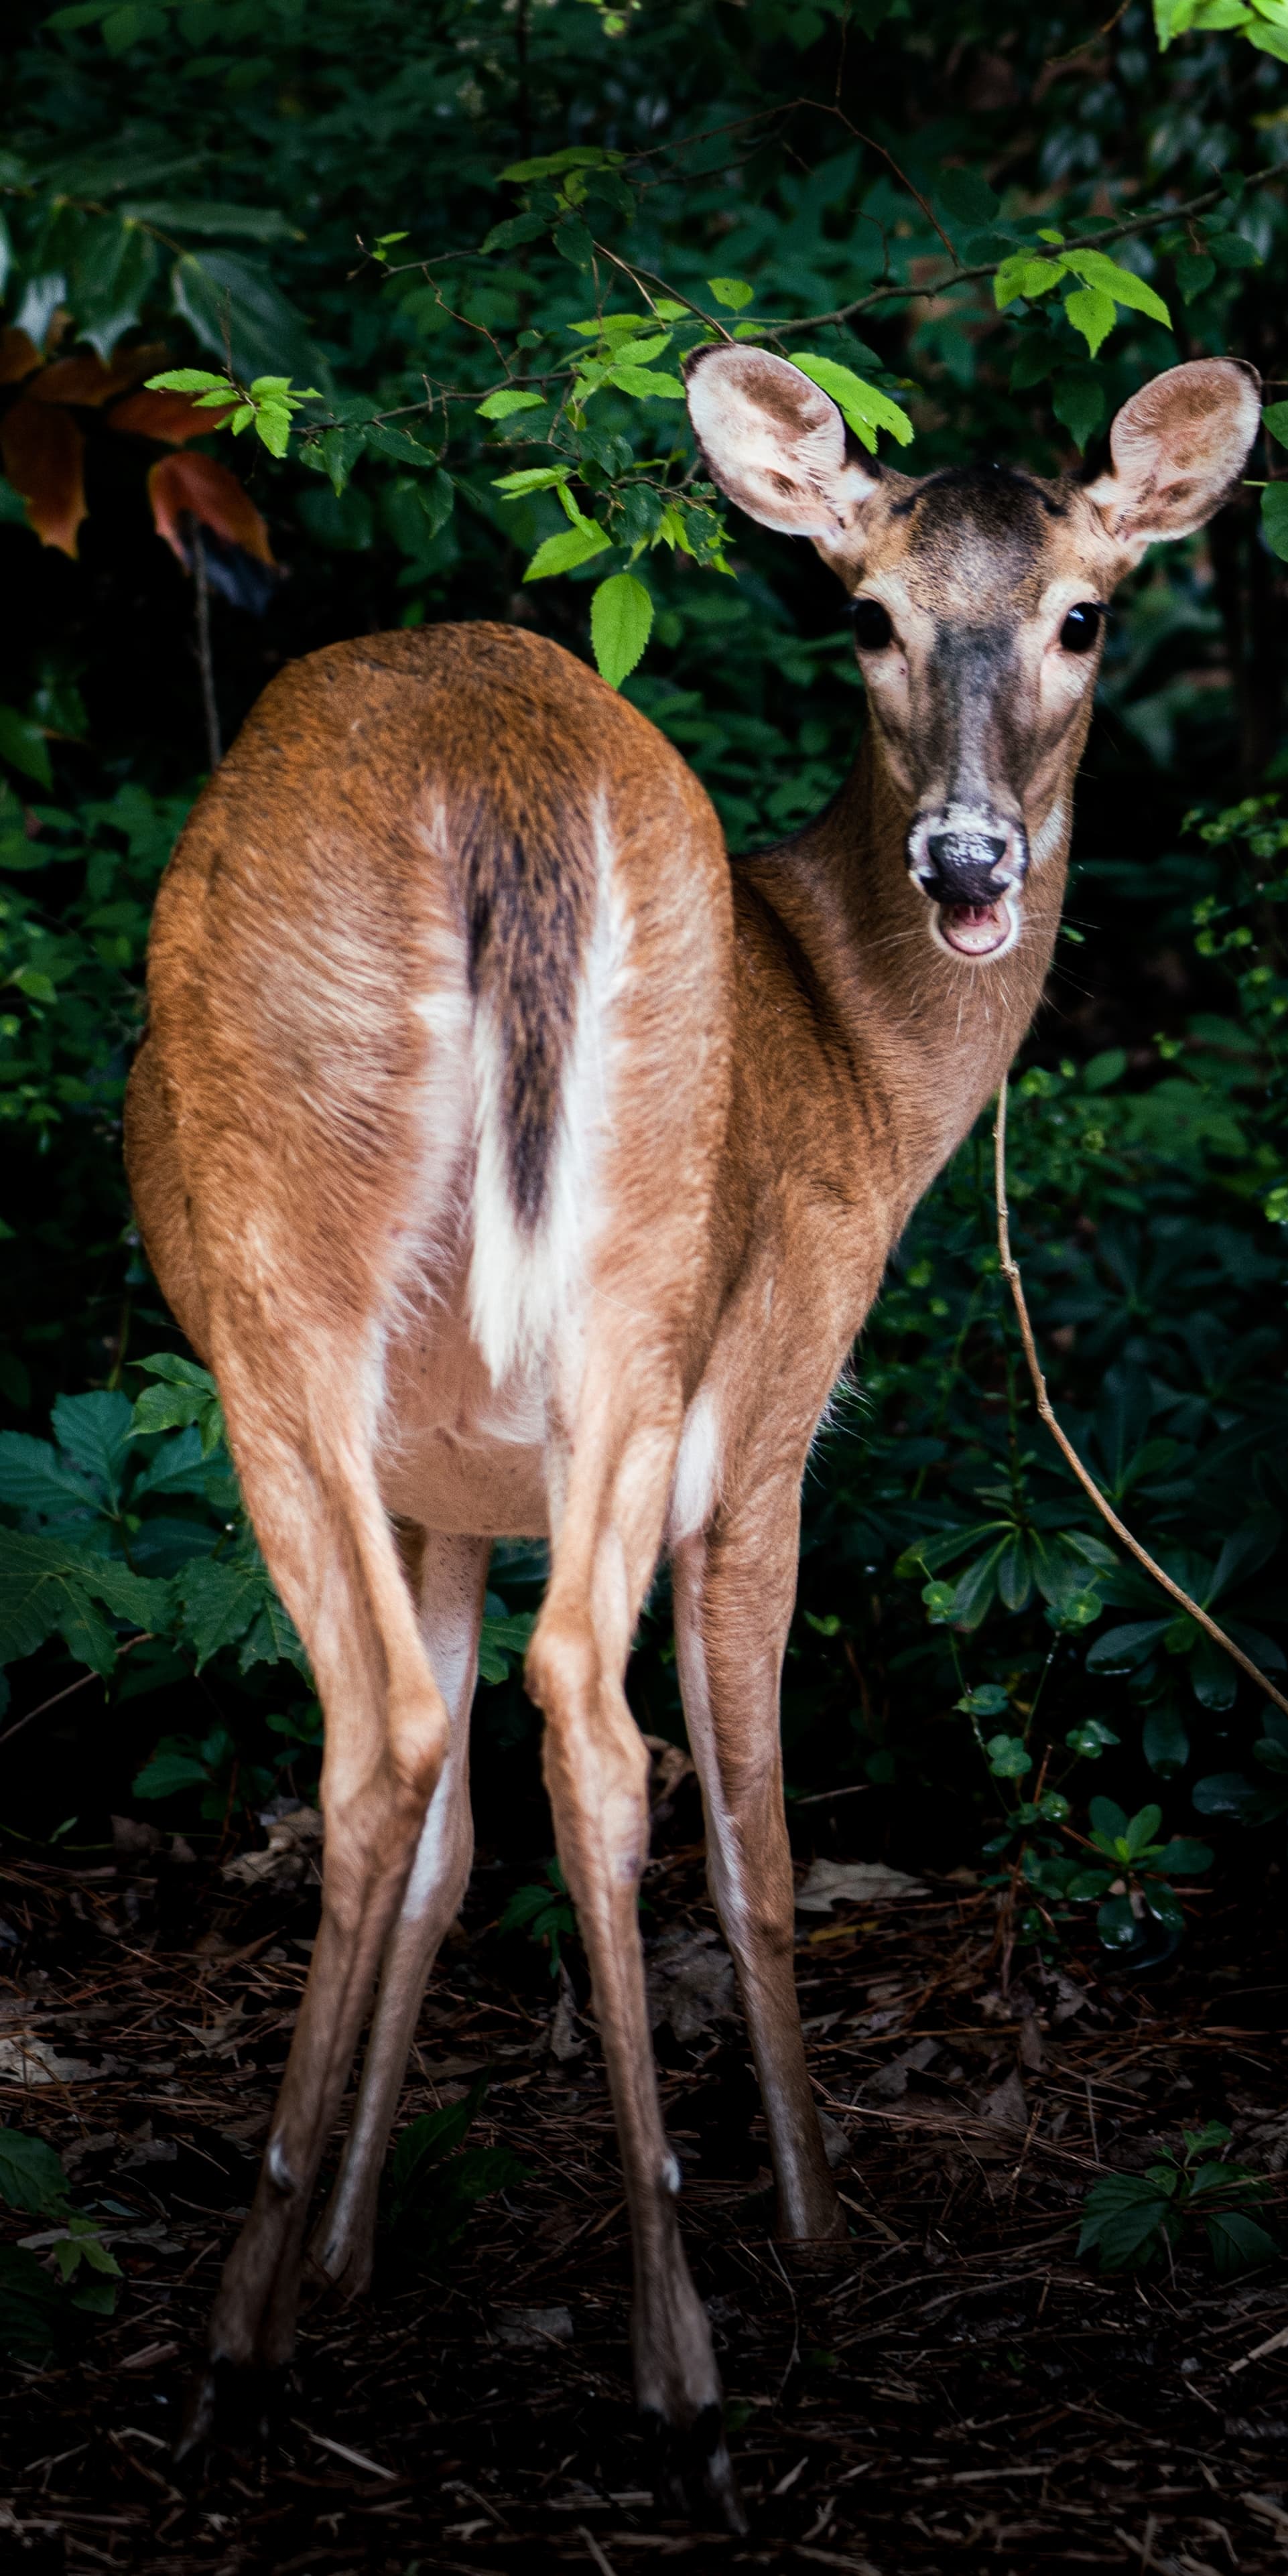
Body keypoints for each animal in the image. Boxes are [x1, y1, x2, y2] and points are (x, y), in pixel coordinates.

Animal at [128, 342, 1257, 2514]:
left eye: (1084, 613)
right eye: (865, 614)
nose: (968, 864)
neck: (858, 1066)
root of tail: (503, 796)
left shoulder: (459, 1482)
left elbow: (453, 1845)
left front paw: (357, 2245)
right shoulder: (779, 1397)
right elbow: (760, 1833)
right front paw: (814, 2222)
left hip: (514, 1318)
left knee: (464, 1733)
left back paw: (390, 2320)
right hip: (389, 1318)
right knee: (541, 1726)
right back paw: (566, 2345)